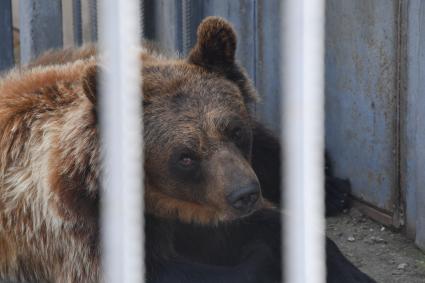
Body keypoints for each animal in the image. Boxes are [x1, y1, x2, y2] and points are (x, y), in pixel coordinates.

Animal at [0, 16, 372, 282]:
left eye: (235, 130)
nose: (245, 194)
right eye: (185, 156)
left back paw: (331, 188)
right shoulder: (78, 233)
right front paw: (259, 258)